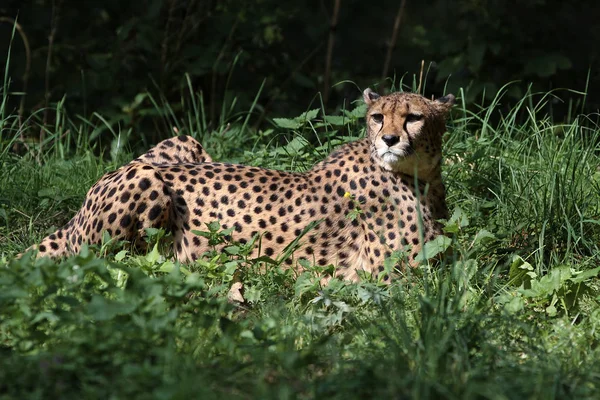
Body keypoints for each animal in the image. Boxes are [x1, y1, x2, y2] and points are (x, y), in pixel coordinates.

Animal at [24, 88, 454, 282]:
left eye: (414, 117)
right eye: (378, 117)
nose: (390, 140)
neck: (422, 174)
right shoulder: (395, 276)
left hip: (184, 142)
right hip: (146, 179)